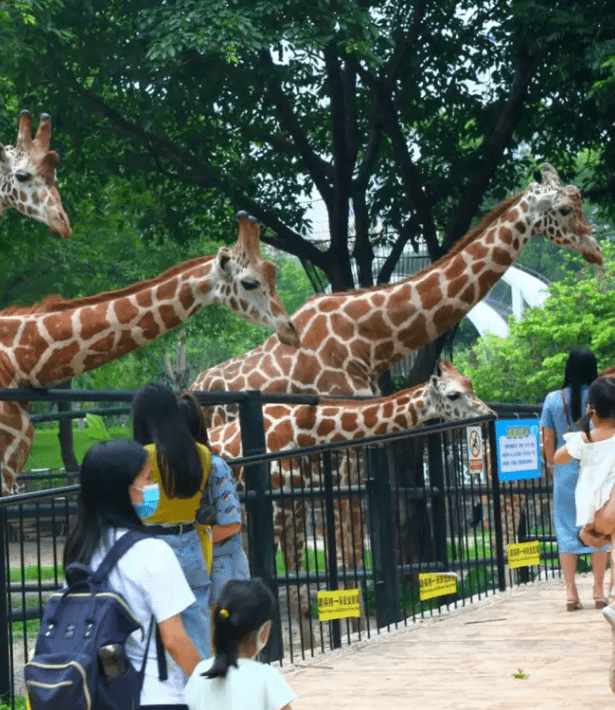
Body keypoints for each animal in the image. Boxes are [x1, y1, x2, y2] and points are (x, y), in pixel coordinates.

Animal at [207, 364, 496, 632]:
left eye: (470, 385)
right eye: (454, 394)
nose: (490, 414)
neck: (300, 429)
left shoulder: (294, 506)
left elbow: (297, 592)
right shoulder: (271, 507)